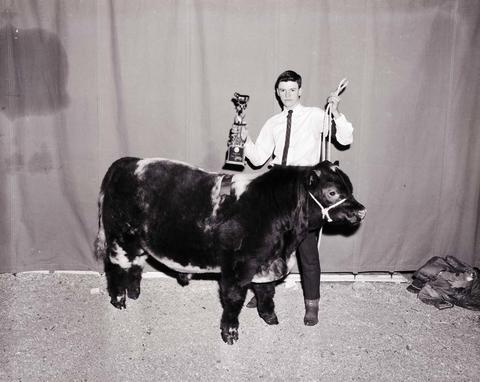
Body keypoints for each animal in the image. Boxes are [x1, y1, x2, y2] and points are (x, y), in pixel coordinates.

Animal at [94, 157, 366, 344]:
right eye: (332, 192)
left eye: (350, 188)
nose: (361, 211)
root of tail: (128, 162)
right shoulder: (238, 268)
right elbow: (234, 301)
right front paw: (230, 333)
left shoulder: (265, 264)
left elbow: (266, 292)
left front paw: (269, 317)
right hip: (119, 237)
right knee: (115, 267)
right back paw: (119, 300)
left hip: (139, 241)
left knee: (135, 265)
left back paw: (134, 293)